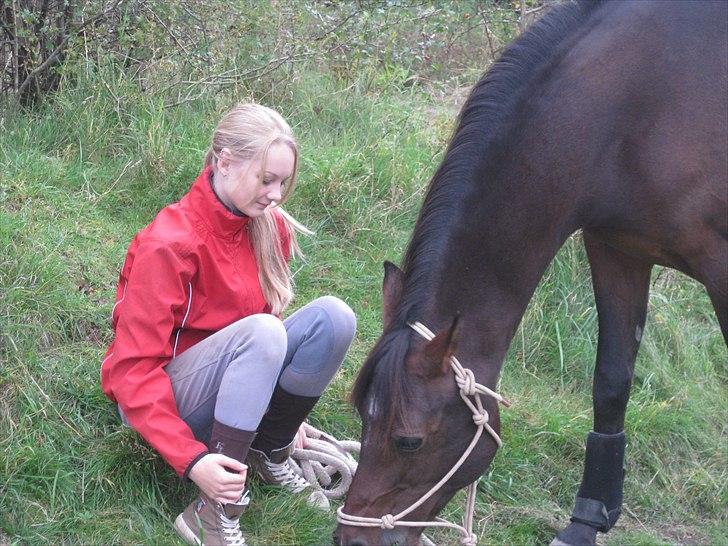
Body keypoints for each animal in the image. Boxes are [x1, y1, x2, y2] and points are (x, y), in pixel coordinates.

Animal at [336, 2, 728, 540]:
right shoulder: (617, 248)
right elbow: (611, 381)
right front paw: (586, 521)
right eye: (361, 415)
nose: (350, 537)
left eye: (408, 440)